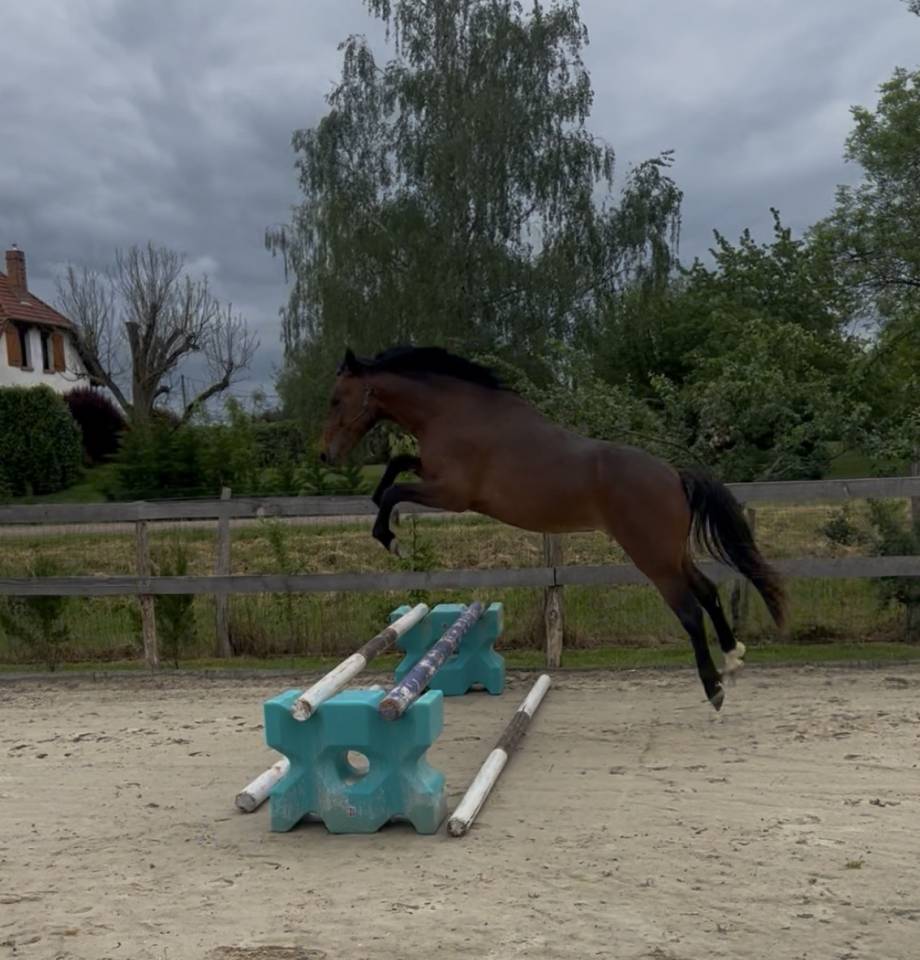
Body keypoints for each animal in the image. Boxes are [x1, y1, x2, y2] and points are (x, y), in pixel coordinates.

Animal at [318, 345, 787, 710]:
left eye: (337, 399)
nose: (325, 456)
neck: (455, 413)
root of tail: (674, 476)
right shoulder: (432, 476)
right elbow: (396, 470)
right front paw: (386, 518)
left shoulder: (450, 493)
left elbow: (395, 490)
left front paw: (390, 537)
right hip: (674, 554)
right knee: (708, 591)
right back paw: (733, 657)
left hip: (653, 560)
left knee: (690, 611)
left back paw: (714, 689)